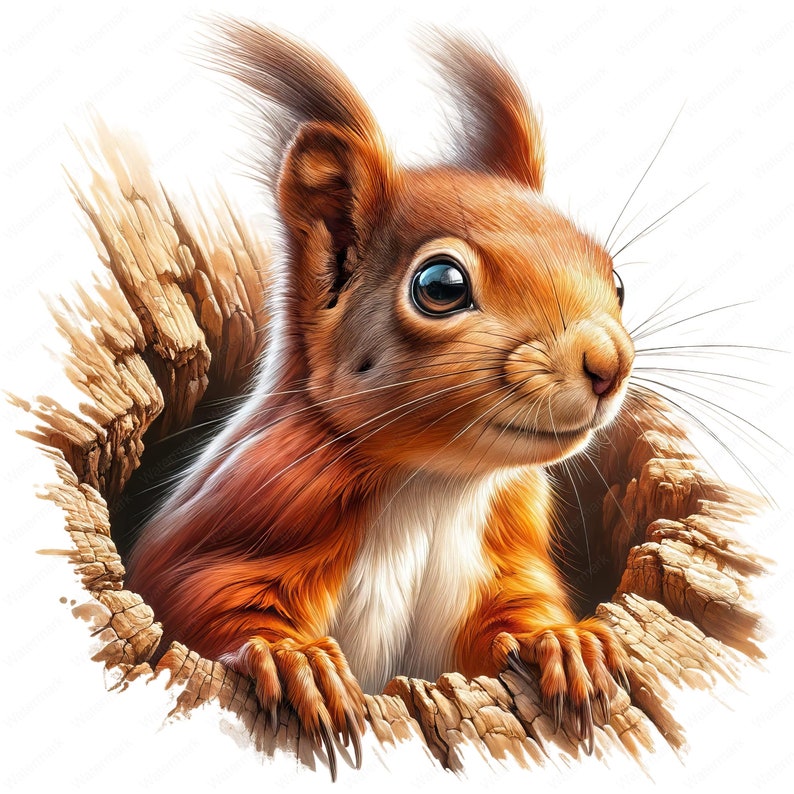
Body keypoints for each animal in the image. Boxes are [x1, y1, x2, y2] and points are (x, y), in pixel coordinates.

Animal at [126, 20, 635, 778]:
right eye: (440, 285)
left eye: (616, 279)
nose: (609, 364)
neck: (434, 484)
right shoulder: (260, 502)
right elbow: (193, 592)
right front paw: (295, 659)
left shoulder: (503, 548)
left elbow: (516, 609)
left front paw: (564, 642)